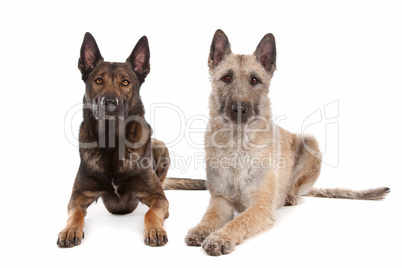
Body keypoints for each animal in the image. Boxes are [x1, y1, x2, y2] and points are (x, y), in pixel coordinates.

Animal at [56, 32, 203, 248]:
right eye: (98, 81)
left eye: (125, 82)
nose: (109, 103)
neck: (112, 143)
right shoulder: (78, 196)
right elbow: (74, 214)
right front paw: (69, 230)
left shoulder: (159, 198)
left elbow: (150, 213)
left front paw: (155, 229)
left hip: (161, 147)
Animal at [185, 29, 390, 255]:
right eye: (227, 78)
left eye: (254, 80)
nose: (239, 109)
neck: (238, 144)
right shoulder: (220, 200)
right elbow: (209, 216)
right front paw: (201, 229)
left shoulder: (260, 206)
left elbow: (239, 222)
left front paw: (220, 237)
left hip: (310, 142)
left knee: (295, 186)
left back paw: (289, 196)